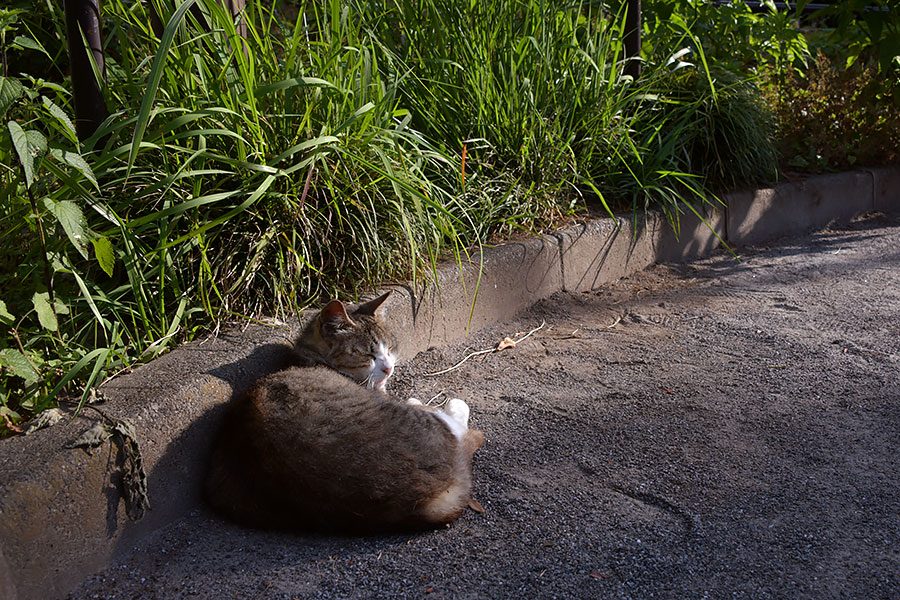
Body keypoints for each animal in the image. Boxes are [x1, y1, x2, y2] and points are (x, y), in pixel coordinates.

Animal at [205, 292, 486, 532]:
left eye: (389, 348)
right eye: (368, 354)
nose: (389, 369)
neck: (308, 359)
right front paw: (420, 399)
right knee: (461, 425)